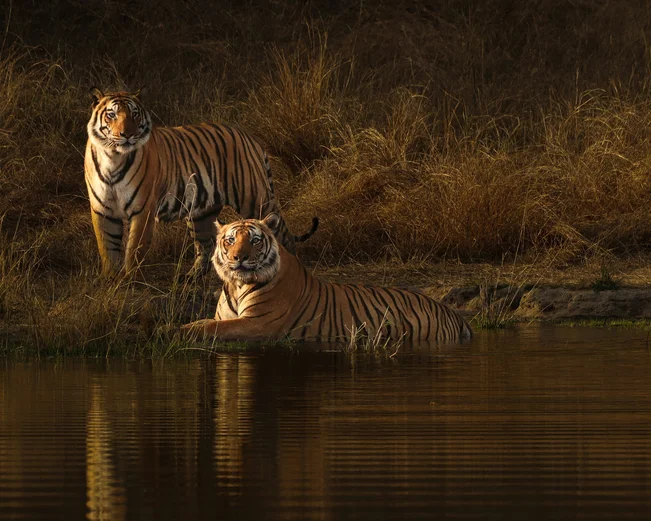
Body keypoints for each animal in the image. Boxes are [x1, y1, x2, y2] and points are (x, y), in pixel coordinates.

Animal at [84, 87, 318, 277]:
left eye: (134, 114)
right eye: (111, 114)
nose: (127, 135)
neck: (113, 158)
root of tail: (249, 137)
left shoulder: (143, 210)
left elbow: (134, 248)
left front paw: (130, 278)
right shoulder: (102, 209)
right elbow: (107, 247)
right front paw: (111, 280)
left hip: (256, 200)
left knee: (282, 236)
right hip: (201, 212)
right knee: (206, 245)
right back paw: (192, 277)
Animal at [180, 215, 473, 344]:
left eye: (254, 240)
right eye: (230, 240)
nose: (238, 258)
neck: (236, 284)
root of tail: (452, 312)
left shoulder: (257, 324)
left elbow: (209, 328)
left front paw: (172, 331)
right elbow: (204, 323)